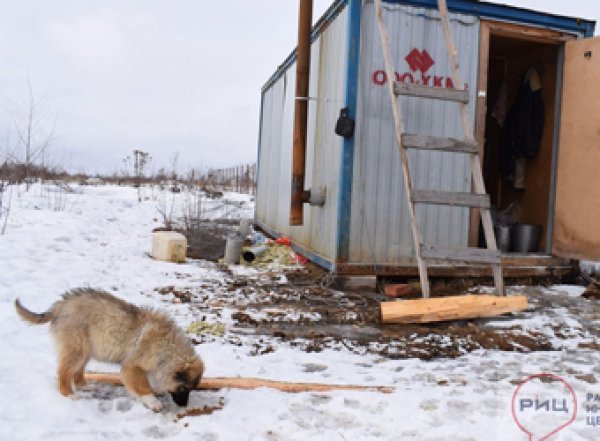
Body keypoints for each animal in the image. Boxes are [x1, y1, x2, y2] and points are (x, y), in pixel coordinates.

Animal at [14, 288, 204, 410]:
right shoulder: (131, 367)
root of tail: (61, 305)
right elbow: (142, 385)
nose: (184, 406)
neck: (167, 347)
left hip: (87, 348)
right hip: (77, 347)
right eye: (183, 389)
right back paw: (68, 393)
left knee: (77, 371)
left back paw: (84, 386)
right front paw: (151, 400)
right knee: (64, 371)